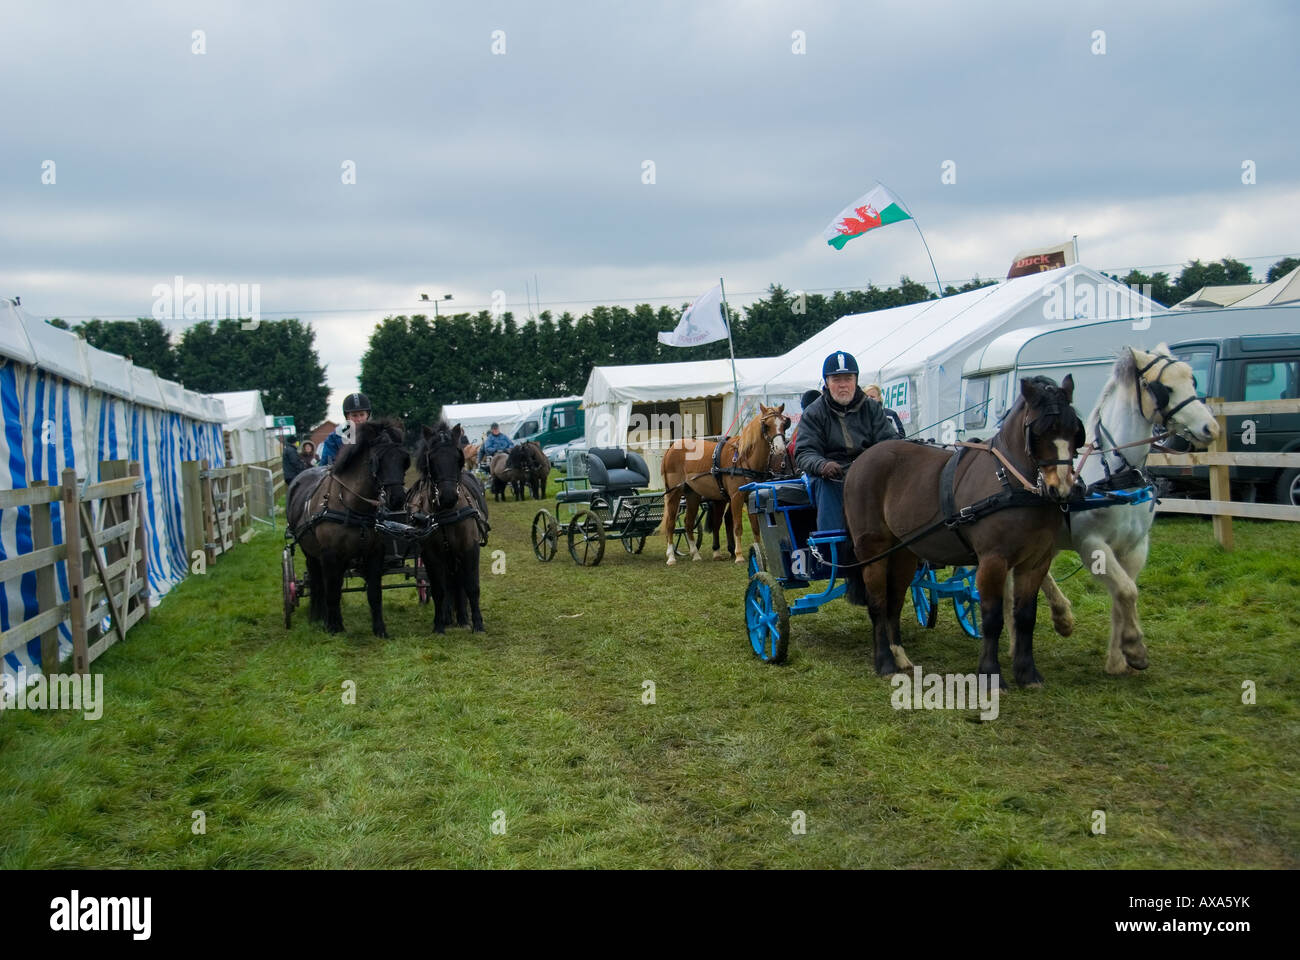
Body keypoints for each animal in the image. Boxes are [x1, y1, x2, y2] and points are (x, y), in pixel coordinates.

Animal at [288, 416, 410, 634]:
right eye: (377, 460)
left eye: (404, 460)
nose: (397, 499)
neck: (353, 507)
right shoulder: (330, 555)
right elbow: (332, 591)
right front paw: (334, 627)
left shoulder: (375, 553)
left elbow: (374, 593)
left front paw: (380, 629)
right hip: (310, 552)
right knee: (318, 582)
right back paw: (318, 617)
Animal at [405, 421, 488, 632]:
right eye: (431, 459)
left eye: (457, 457)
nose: (449, 496)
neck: (446, 514)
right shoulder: (431, 555)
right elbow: (438, 590)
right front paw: (439, 624)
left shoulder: (469, 548)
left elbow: (471, 586)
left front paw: (477, 624)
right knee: (449, 584)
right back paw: (449, 616)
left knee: (459, 583)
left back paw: (462, 617)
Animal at [660, 403, 790, 561]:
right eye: (766, 425)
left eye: (784, 424)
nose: (780, 448)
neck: (743, 459)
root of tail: (671, 448)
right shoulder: (736, 497)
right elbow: (737, 527)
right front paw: (739, 556)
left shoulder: (751, 497)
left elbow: (755, 528)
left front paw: (759, 552)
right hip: (674, 492)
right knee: (671, 524)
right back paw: (671, 557)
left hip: (692, 495)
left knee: (688, 523)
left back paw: (695, 554)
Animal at [842, 374, 1086, 686]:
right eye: (1039, 431)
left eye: (1074, 429)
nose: (1062, 489)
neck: (1011, 483)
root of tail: (860, 460)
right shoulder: (993, 560)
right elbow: (992, 617)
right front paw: (991, 673)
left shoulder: (1036, 562)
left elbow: (1025, 616)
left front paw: (1027, 673)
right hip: (872, 549)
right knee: (877, 602)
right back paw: (884, 662)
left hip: (904, 552)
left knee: (893, 602)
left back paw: (899, 654)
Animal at [1024, 346, 1216, 671]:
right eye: (1163, 389)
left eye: (1192, 381)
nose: (1211, 428)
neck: (1119, 473)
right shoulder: (1092, 545)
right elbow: (1126, 591)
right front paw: (1134, 647)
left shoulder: (1135, 546)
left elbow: (1122, 595)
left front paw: (1118, 659)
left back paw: (1062, 618)